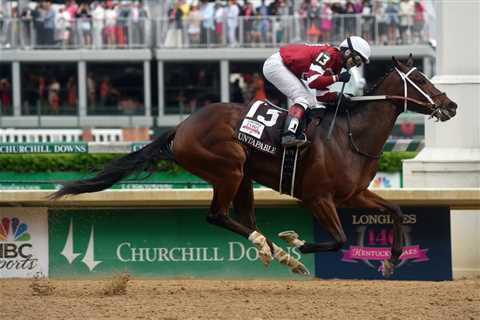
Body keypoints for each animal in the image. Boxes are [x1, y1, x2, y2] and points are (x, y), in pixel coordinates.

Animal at [51, 55, 458, 278]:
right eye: (420, 79)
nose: (451, 105)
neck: (350, 135)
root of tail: (182, 126)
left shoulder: (353, 194)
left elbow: (396, 210)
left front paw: (391, 260)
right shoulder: (318, 198)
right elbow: (341, 239)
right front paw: (298, 241)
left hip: (242, 177)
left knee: (243, 218)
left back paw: (276, 253)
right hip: (227, 169)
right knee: (218, 216)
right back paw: (272, 248)